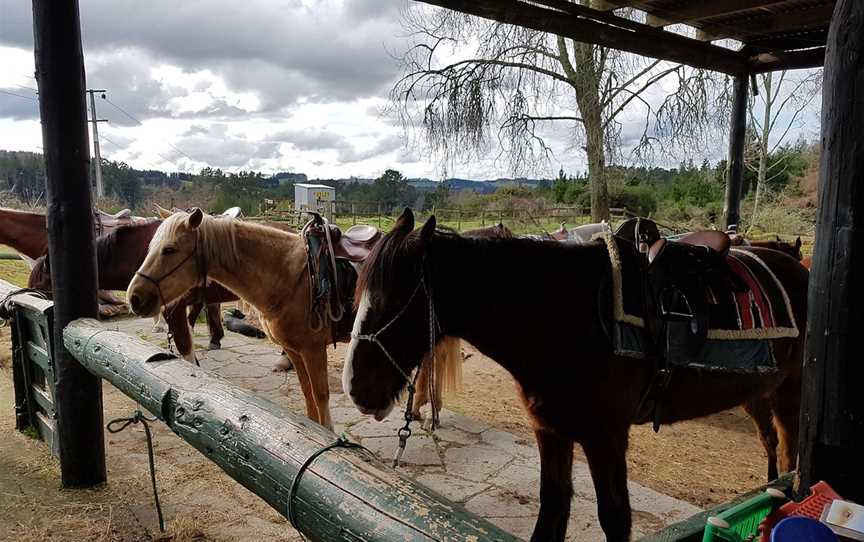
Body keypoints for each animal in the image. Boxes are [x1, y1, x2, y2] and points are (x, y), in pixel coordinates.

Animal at [340, 209, 808, 542]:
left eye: (390, 302)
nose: (355, 389)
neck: (565, 320)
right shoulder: (551, 429)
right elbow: (552, 510)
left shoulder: (606, 438)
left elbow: (615, 517)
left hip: (791, 394)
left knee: (789, 456)